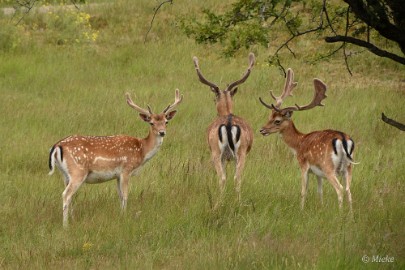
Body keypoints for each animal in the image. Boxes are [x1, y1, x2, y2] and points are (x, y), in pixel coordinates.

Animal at [48, 89, 184, 226]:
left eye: (166, 122)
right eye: (151, 123)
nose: (162, 132)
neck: (142, 150)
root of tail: (57, 145)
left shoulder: (117, 175)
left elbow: (120, 196)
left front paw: (121, 215)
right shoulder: (126, 169)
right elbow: (125, 195)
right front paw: (124, 217)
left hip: (65, 174)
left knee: (69, 196)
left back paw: (72, 219)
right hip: (78, 171)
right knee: (66, 195)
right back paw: (66, 225)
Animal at [192, 53, 254, 208]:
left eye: (215, 96)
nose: (213, 100)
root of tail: (229, 123)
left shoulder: (223, 156)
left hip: (216, 151)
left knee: (224, 178)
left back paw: (219, 204)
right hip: (240, 152)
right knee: (236, 177)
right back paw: (236, 202)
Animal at [258, 68, 356, 210]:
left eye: (277, 121)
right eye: (269, 117)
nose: (262, 130)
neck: (298, 143)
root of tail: (343, 139)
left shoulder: (303, 165)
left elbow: (304, 190)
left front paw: (301, 209)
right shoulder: (318, 173)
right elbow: (319, 191)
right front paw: (320, 207)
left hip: (329, 167)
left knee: (340, 189)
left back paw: (340, 212)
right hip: (348, 167)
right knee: (349, 190)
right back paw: (350, 214)